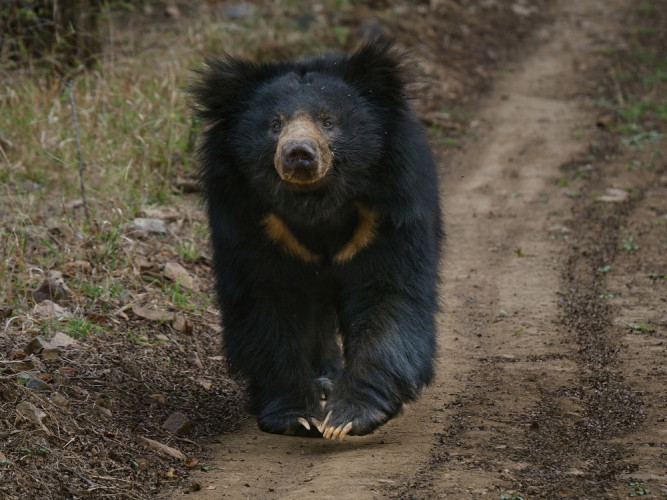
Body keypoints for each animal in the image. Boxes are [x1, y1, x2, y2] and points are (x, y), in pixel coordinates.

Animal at [190, 41, 444, 440]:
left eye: (328, 121)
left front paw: (347, 417)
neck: (315, 203)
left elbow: (388, 292)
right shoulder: (254, 221)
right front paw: (298, 416)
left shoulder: (386, 211)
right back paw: (323, 381)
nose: (299, 154)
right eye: (275, 125)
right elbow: (267, 301)